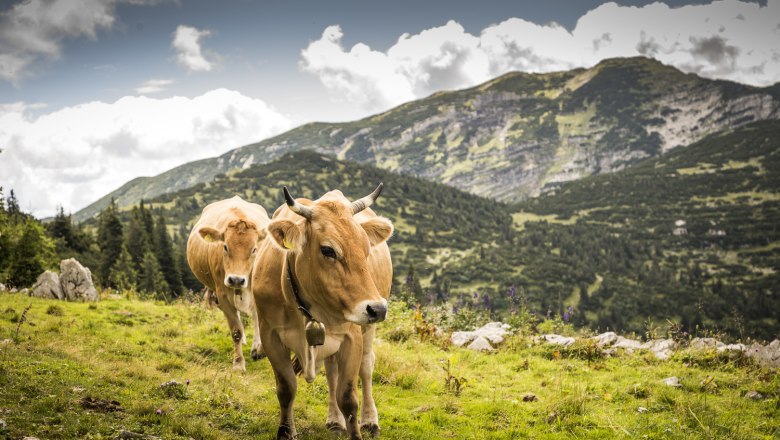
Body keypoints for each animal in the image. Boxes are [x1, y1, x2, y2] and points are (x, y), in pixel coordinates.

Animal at [187, 196, 270, 372]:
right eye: (225, 247)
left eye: (254, 249)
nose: (236, 279)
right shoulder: (223, 294)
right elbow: (236, 330)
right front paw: (238, 363)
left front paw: (259, 350)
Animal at [253, 184, 394, 440]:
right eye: (328, 250)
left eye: (366, 248)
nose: (377, 308)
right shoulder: (270, 335)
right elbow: (286, 388)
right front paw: (286, 431)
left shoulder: (352, 336)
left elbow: (348, 397)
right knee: (331, 371)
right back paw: (335, 420)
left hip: (367, 329)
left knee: (366, 367)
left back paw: (370, 420)